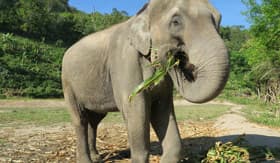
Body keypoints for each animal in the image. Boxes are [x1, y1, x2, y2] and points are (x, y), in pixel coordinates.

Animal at [61, 0, 230, 163]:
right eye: (175, 22)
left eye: (219, 20)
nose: (177, 58)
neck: (142, 13)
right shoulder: (125, 61)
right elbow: (136, 108)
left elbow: (162, 109)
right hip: (67, 83)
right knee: (80, 119)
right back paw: (86, 159)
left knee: (94, 120)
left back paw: (96, 158)